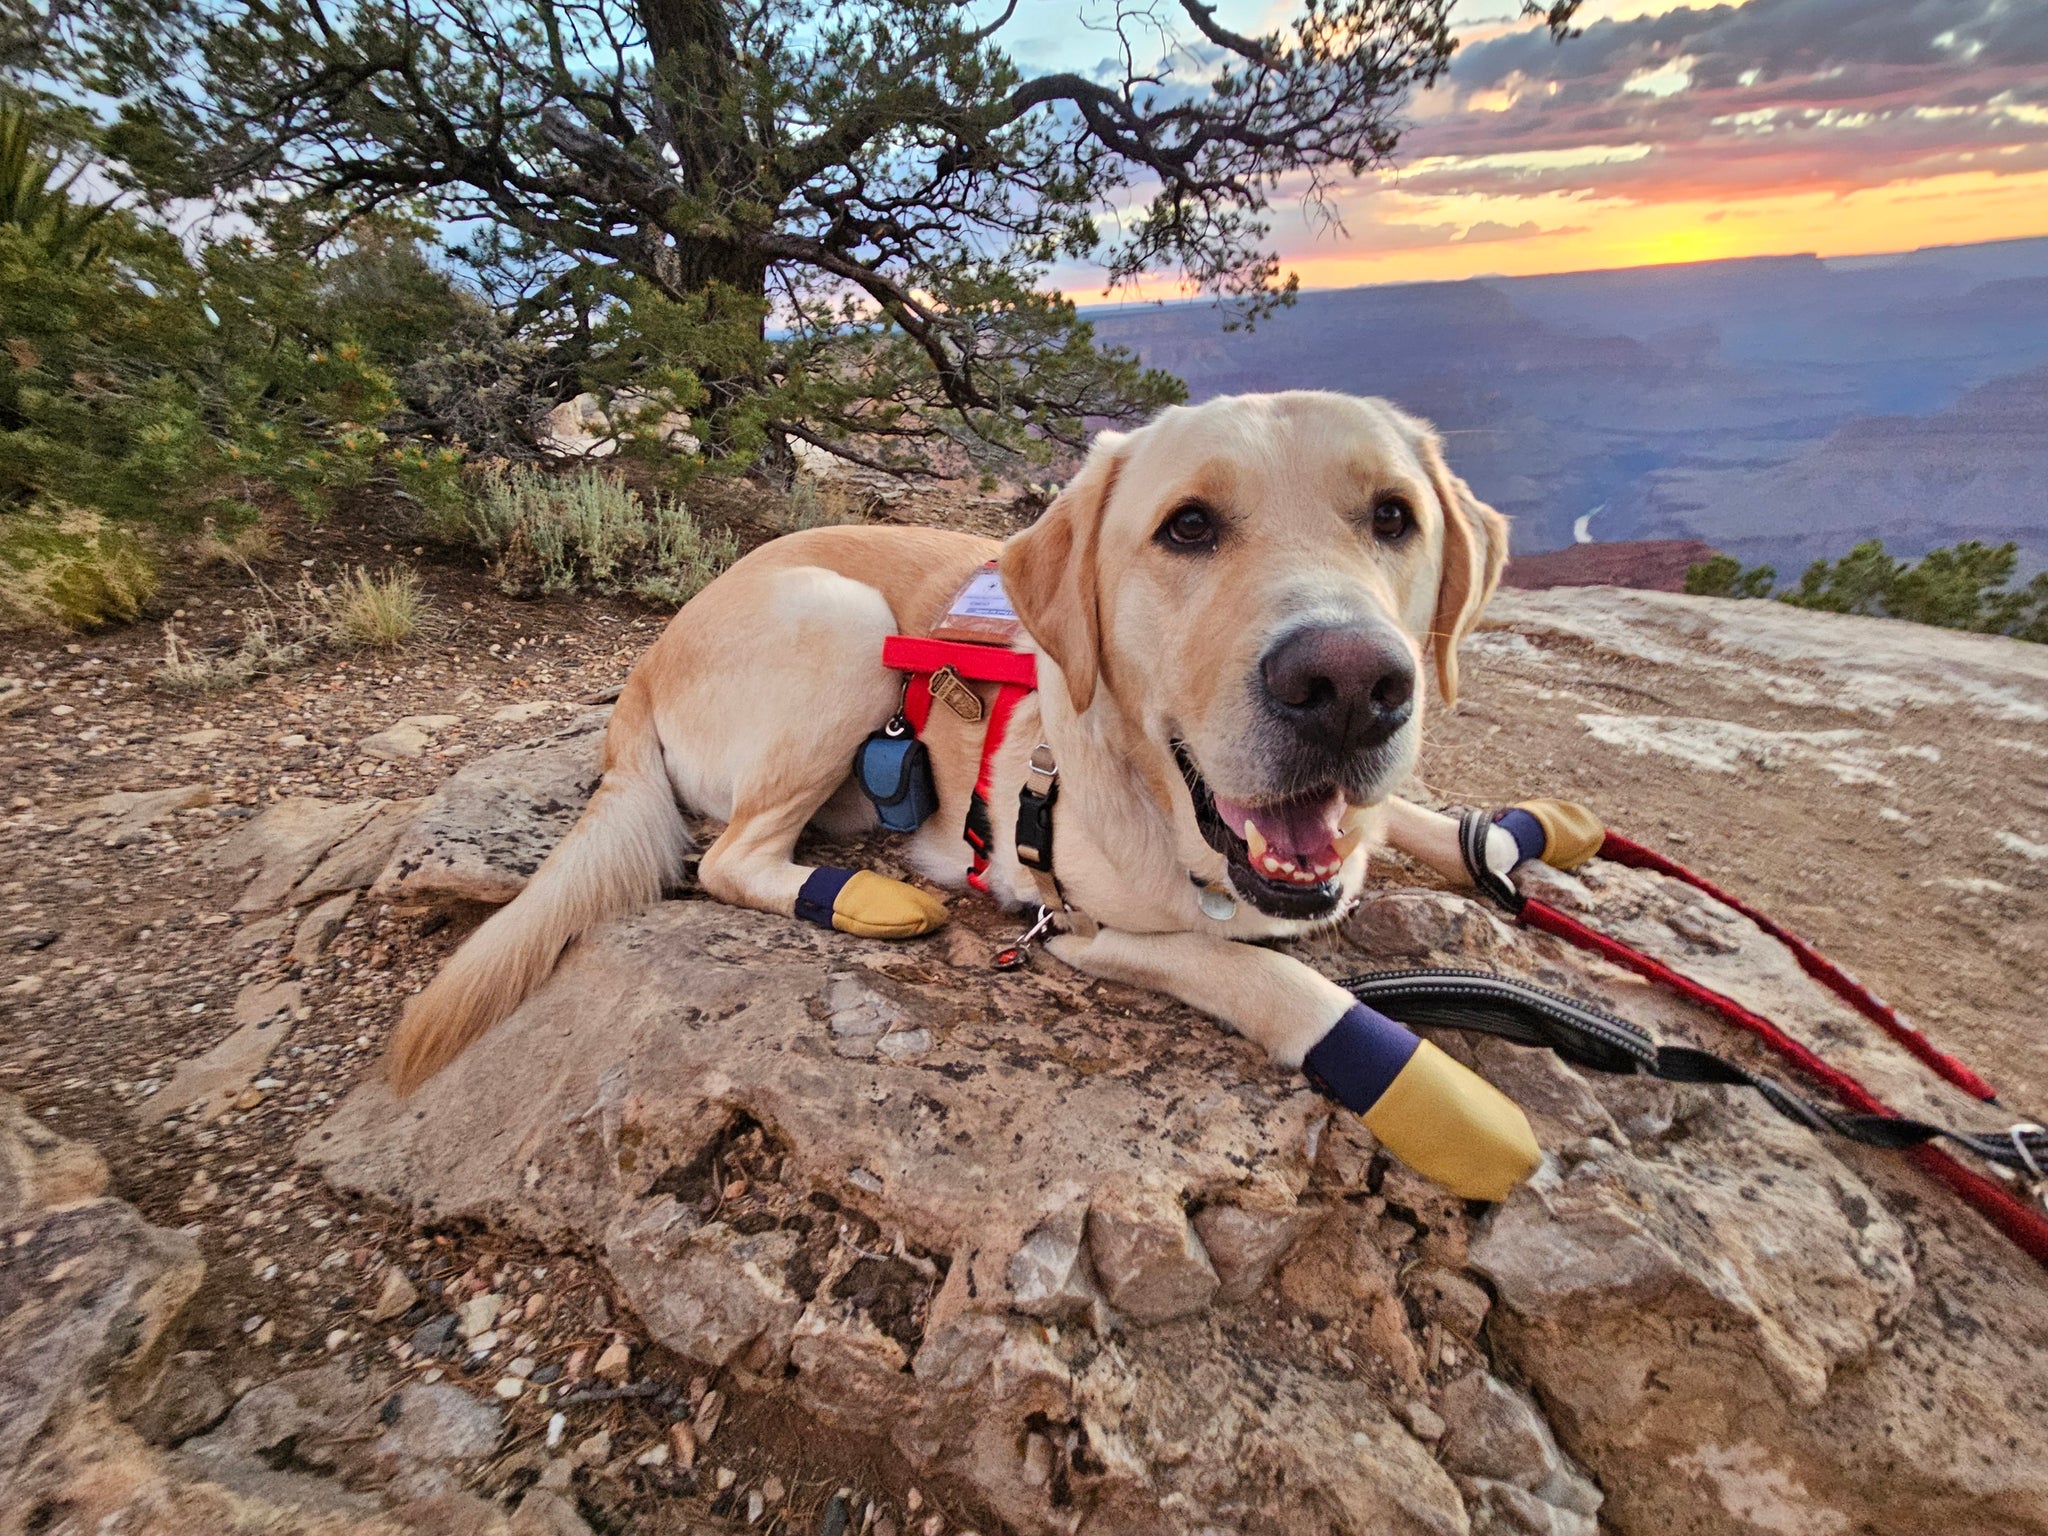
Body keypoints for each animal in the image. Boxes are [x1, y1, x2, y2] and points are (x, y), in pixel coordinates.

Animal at [391, 393, 1540, 1204]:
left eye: (1393, 517)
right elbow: (1278, 981)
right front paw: (1430, 1092)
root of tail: (642, 664)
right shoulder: (1089, 928)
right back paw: (861, 898)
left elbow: (1412, 815)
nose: (1348, 686)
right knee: (725, 859)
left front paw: (1507, 836)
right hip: (845, 623)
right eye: (1187, 528)